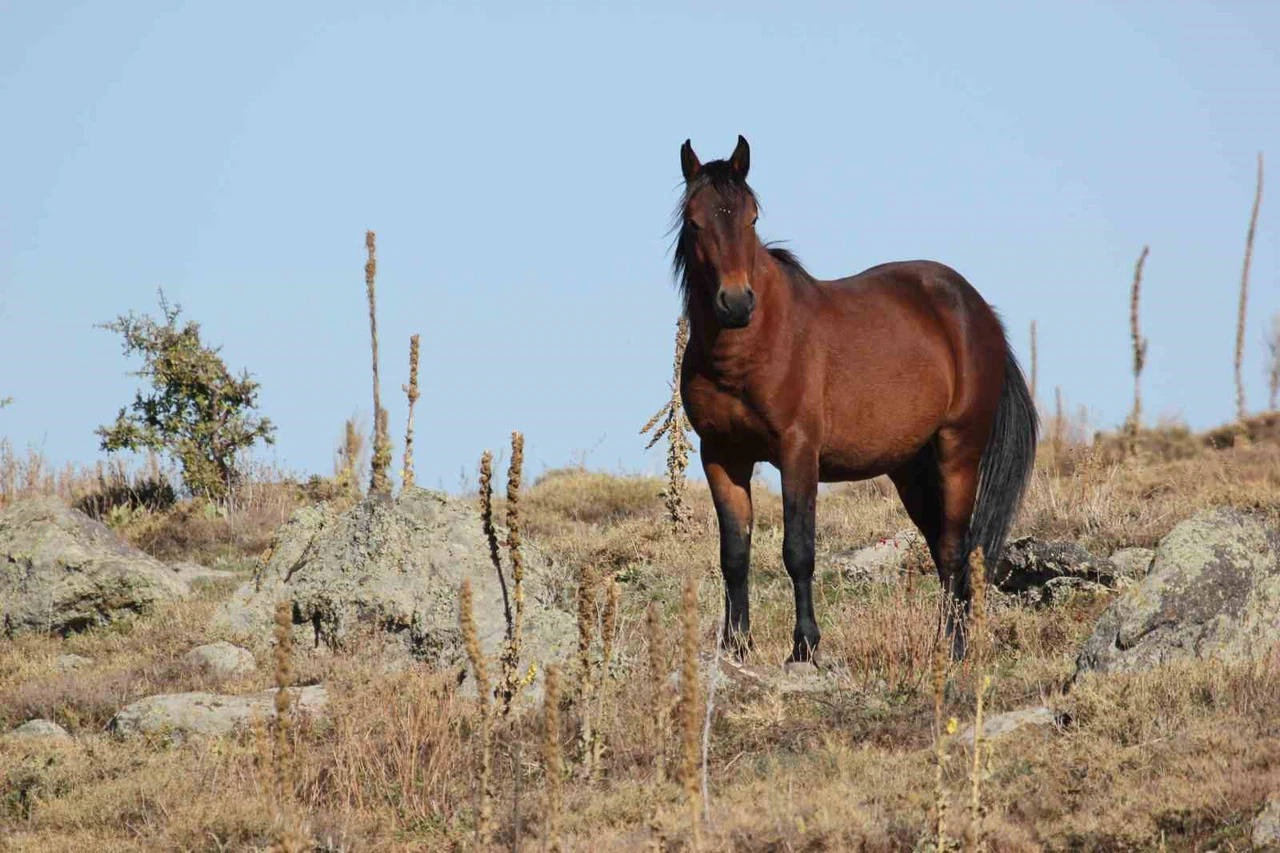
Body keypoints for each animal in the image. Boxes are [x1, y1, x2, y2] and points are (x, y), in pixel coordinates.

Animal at [673, 135, 1037, 663]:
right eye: (695, 220)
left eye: (752, 218)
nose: (737, 303)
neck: (751, 349)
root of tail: (976, 309)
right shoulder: (722, 455)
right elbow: (734, 554)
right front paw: (736, 646)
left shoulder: (798, 451)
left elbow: (798, 550)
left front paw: (804, 646)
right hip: (911, 467)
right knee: (940, 547)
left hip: (958, 452)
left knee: (954, 549)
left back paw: (951, 648)